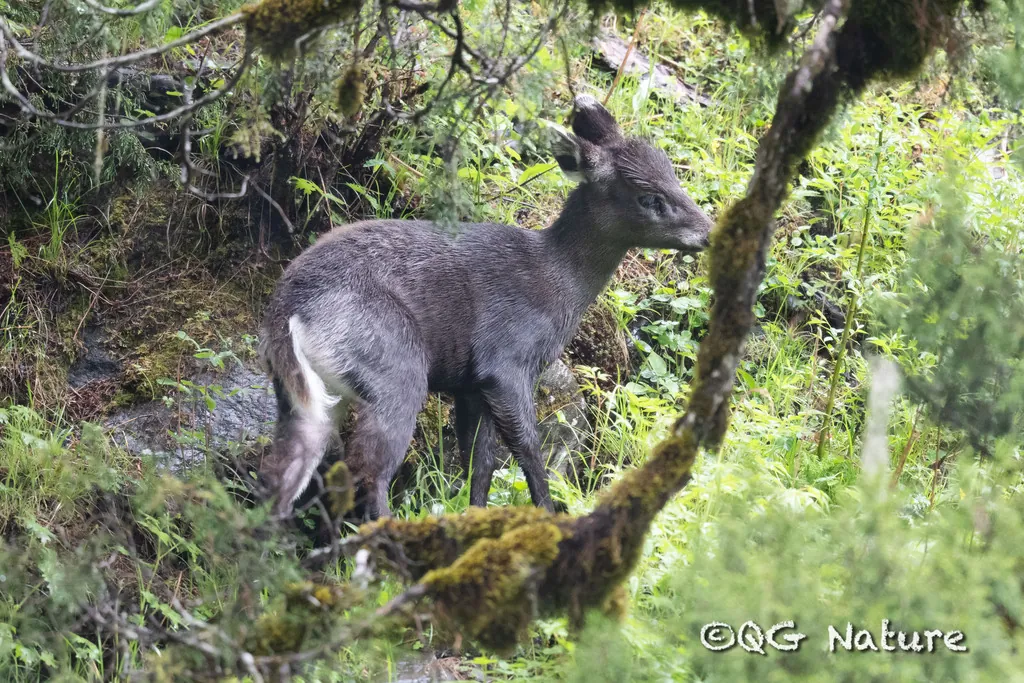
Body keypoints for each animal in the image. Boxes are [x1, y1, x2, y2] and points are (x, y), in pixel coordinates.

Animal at [258, 94, 713, 520]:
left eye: (672, 173)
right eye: (649, 197)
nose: (709, 231)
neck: (557, 282)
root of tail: (288, 311)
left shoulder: (470, 385)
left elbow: (480, 463)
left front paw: (475, 519)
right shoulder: (505, 361)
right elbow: (527, 449)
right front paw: (546, 517)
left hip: (305, 396)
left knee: (284, 475)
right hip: (395, 366)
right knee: (367, 472)